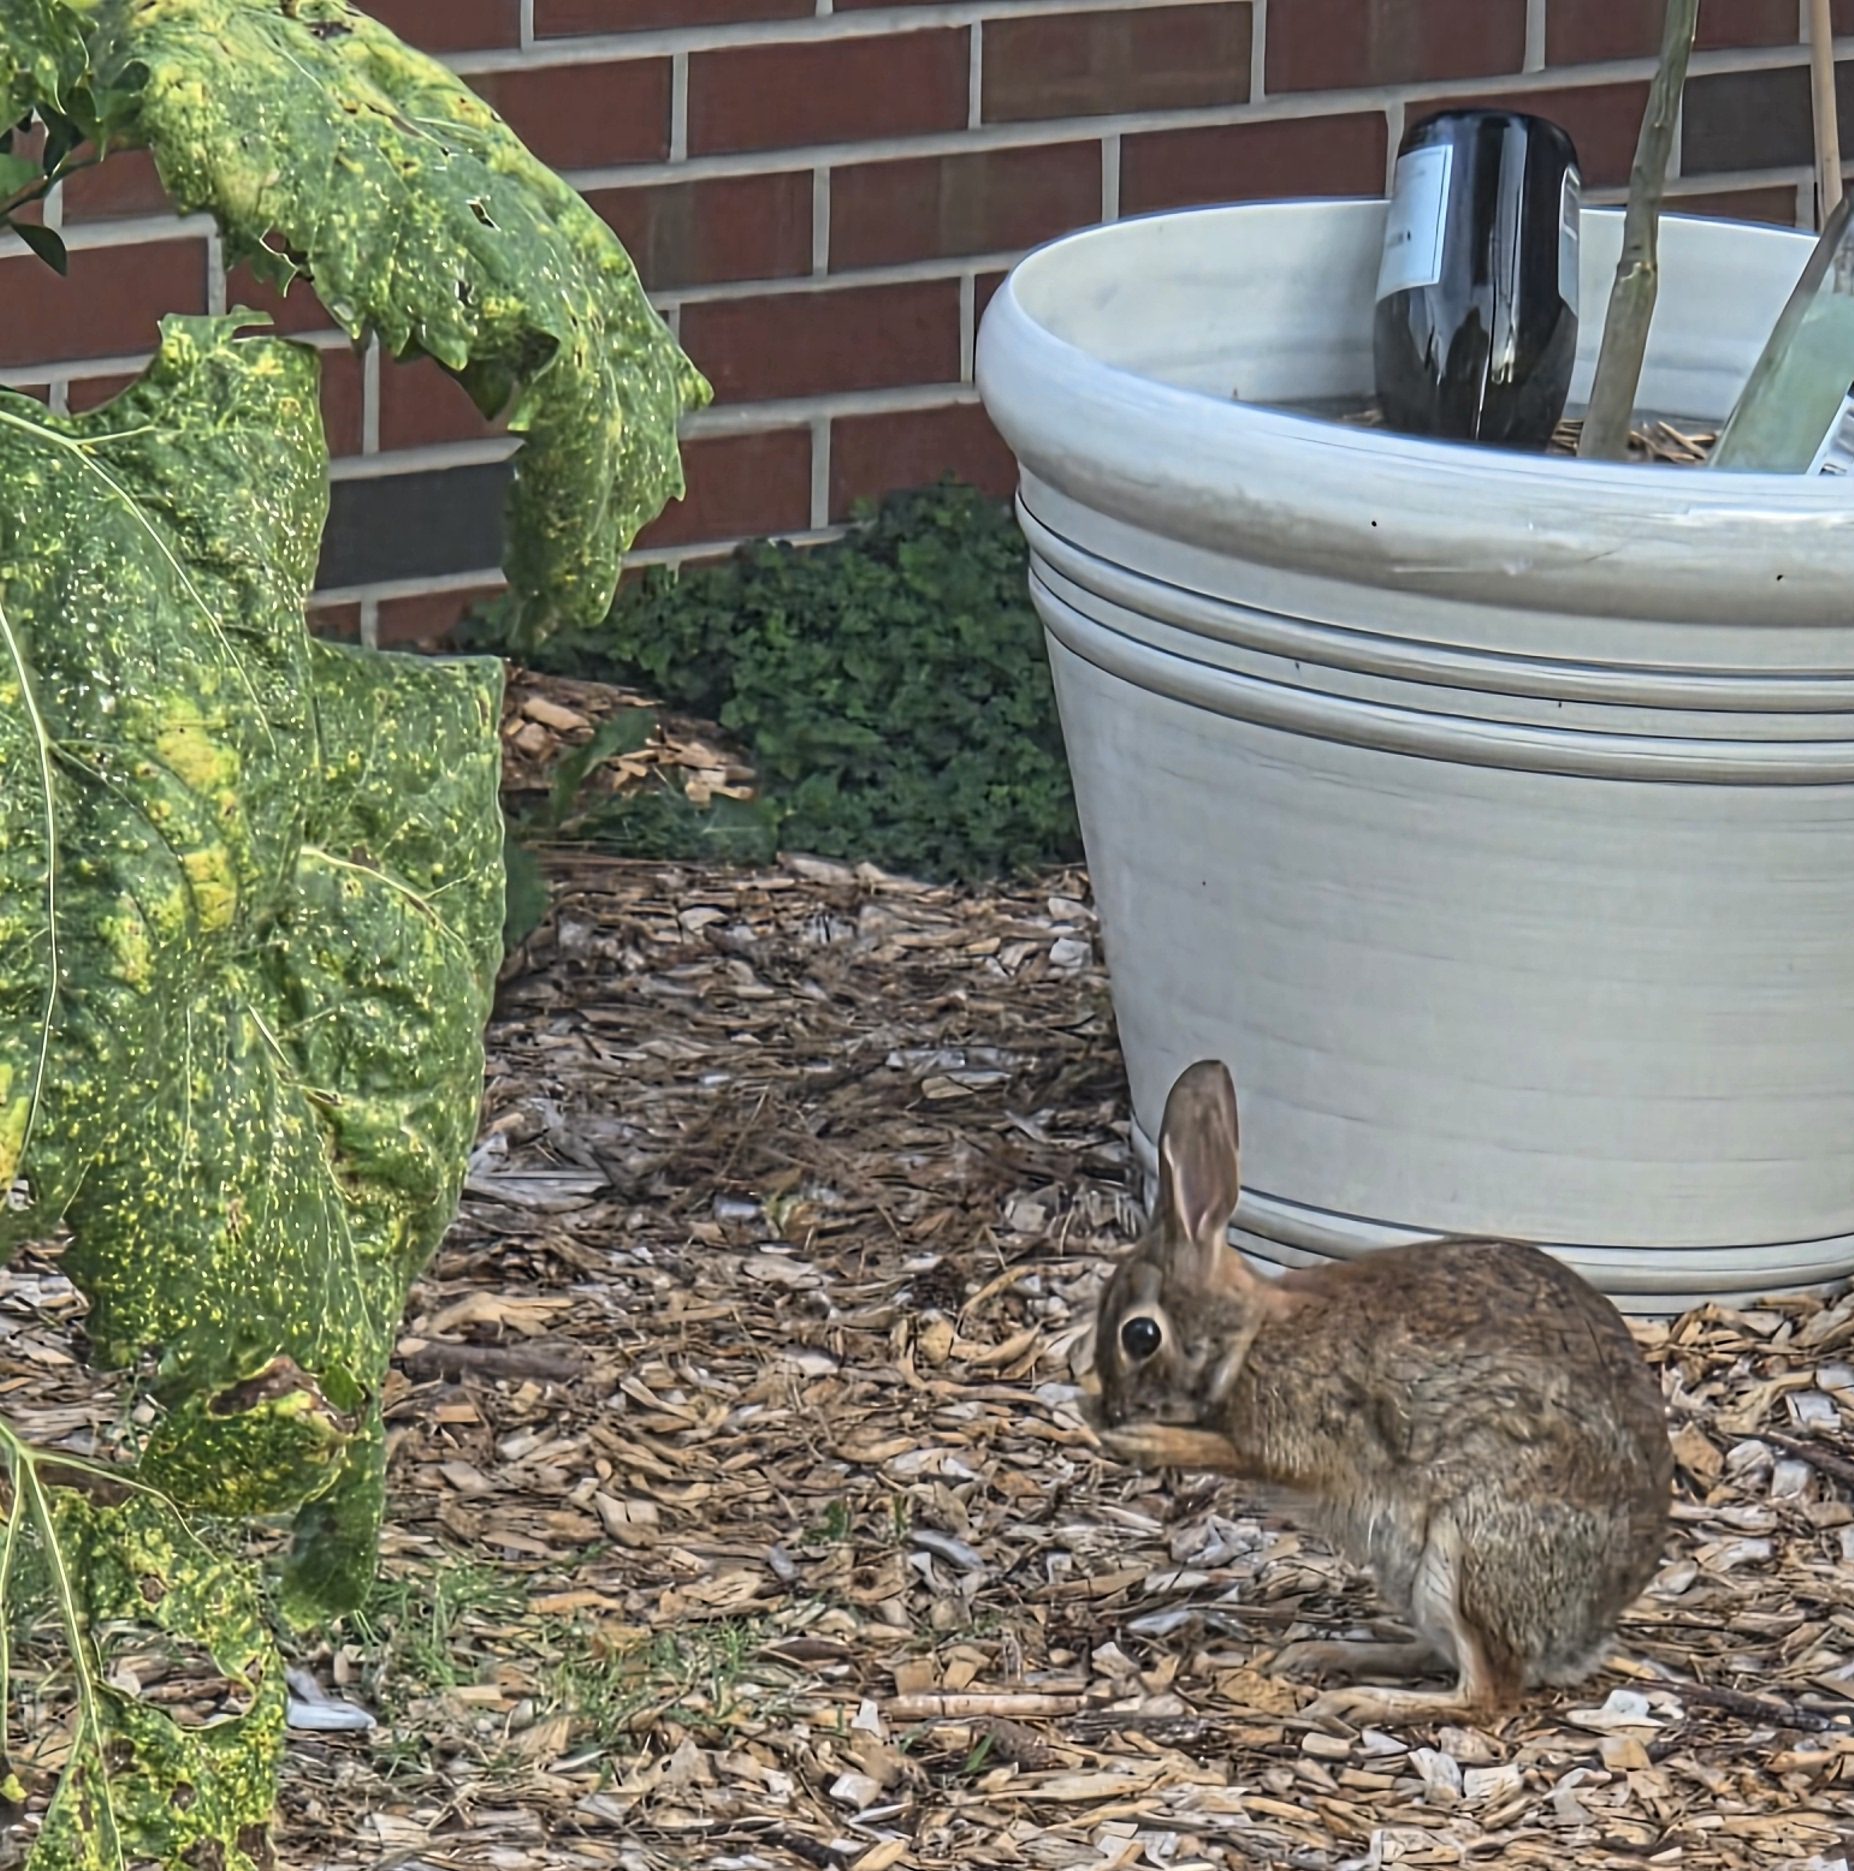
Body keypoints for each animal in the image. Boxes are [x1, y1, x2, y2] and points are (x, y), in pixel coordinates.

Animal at [1087, 1058, 1672, 1729]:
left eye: (1140, 1335)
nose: (1112, 1408)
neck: (1249, 1335)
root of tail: (1580, 1639)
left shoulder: (1300, 1426)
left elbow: (1237, 1452)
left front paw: (1142, 1440)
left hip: (1466, 1553)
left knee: (1486, 1696)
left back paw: (1361, 1699)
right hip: (1416, 1578)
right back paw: (1326, 1653)